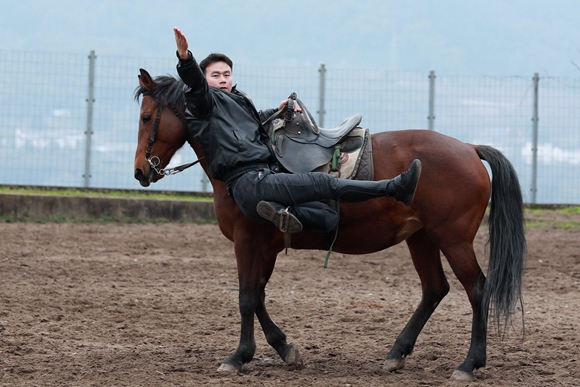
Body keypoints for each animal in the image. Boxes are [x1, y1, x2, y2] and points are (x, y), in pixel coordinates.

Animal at [135, 69, 524, 382]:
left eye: (146, 116)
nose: (141, 171)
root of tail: (470, 149)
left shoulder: (247, 241)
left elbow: (246, 297)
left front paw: (239, 356)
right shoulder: (266, 247)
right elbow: (258, 294)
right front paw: (283, 348)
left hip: (452, 238)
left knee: (477, 289)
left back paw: (469, 363)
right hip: (422, 238)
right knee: (434, 289)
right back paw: (397, 353)